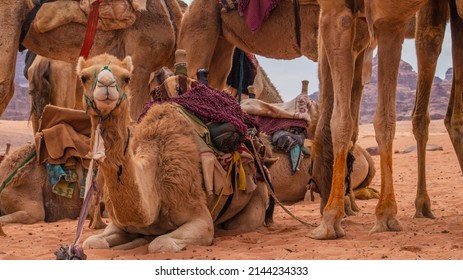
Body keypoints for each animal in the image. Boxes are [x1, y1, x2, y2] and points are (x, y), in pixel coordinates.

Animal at [77, 53, 270, 253]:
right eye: (83, 77)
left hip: (255, 197)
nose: (106, 84)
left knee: (240, 224)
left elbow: (161, 244)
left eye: (126, 78)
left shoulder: (199, 217)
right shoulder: (118, 223)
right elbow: (93, 242)